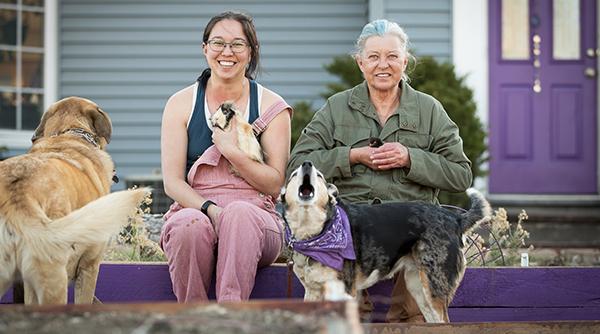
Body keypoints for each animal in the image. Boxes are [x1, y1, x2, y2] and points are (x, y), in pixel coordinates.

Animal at [282, 160, 492, 322]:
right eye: (293, 174)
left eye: (319, 175)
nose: (306, 164)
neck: (315, 233)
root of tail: (455, 218)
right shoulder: (313, 292)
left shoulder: (343, 292)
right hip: (418, 287)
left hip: (433, 285)